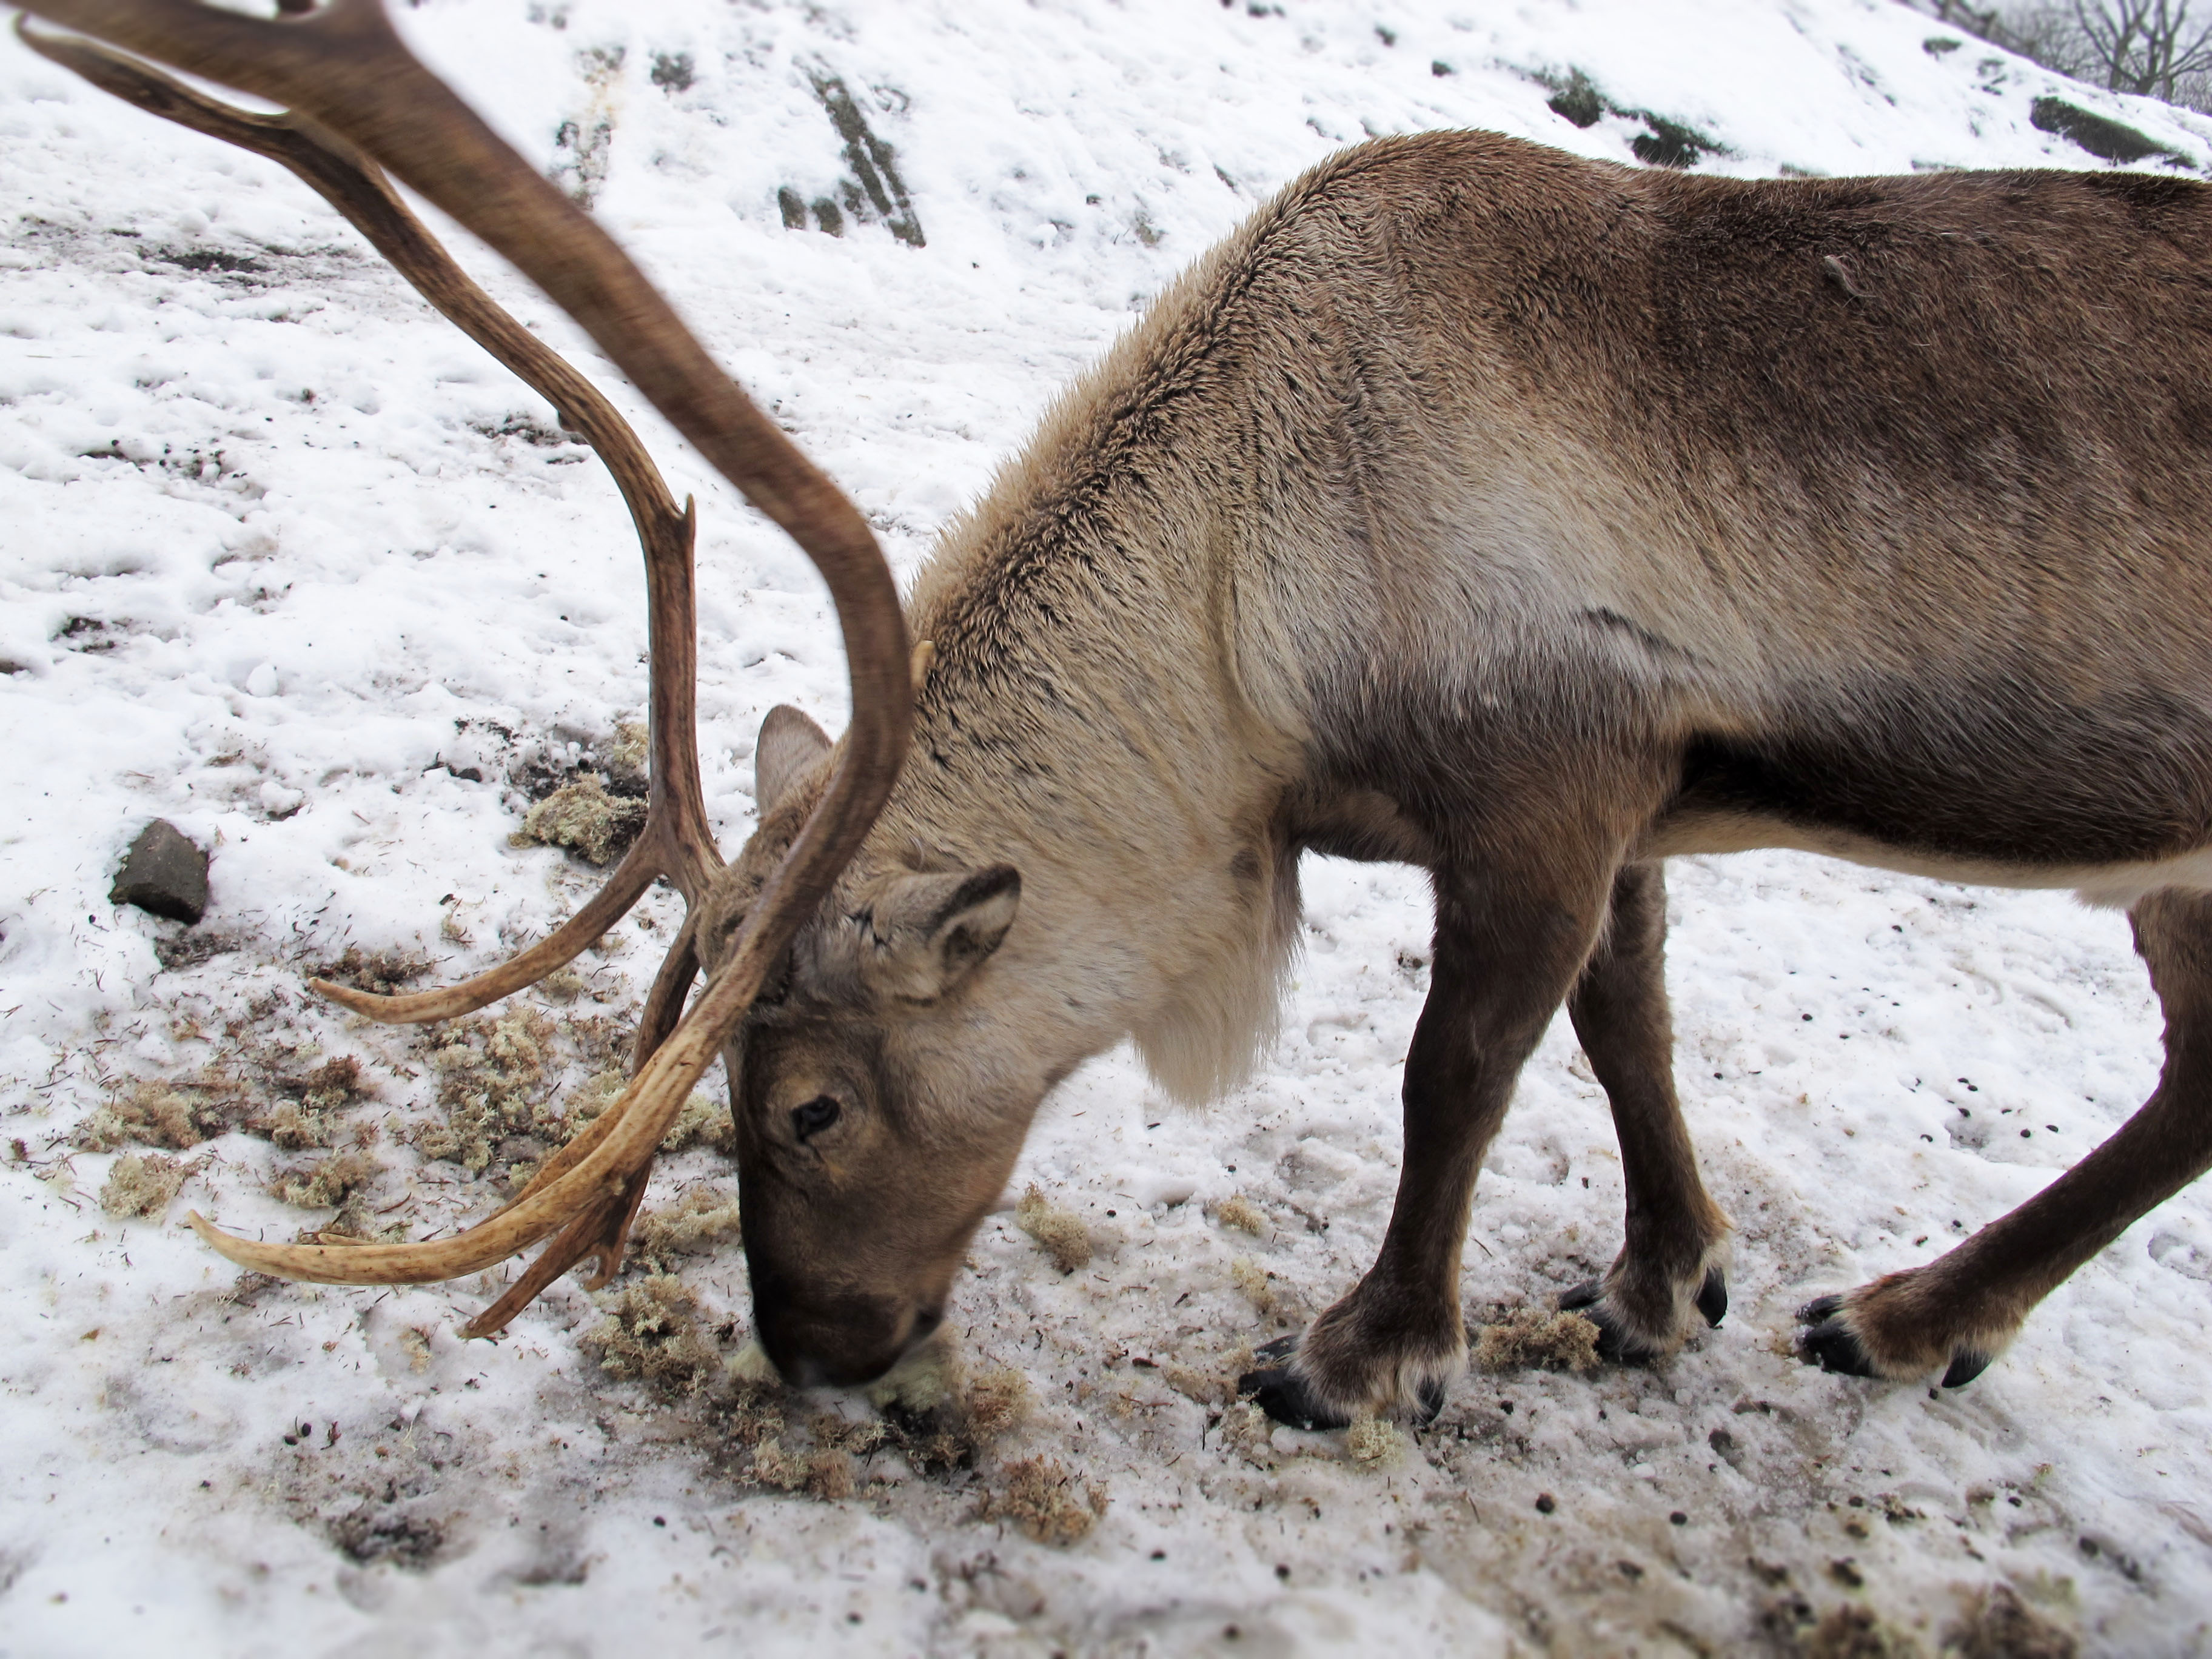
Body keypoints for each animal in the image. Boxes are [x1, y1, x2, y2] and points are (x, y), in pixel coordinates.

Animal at [28, 0, 2212, 1434]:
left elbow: (1458, 1071)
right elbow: (1627, 1028)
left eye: (808, 1101)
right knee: (2190, 1081)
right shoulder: (1636, 791)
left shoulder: (1548, 777)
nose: (814, 1353)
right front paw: (1668, 1280)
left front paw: (1362, 1352)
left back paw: (1909, 1313)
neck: (1258, 628)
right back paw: (1922, 1312)